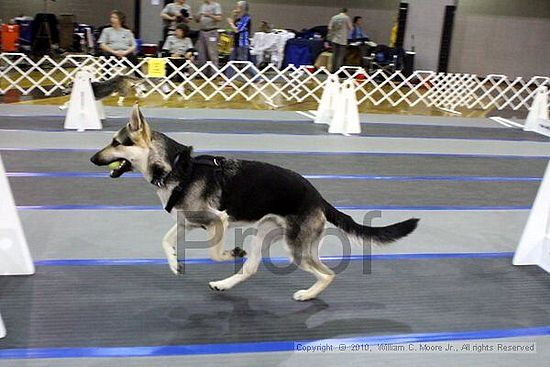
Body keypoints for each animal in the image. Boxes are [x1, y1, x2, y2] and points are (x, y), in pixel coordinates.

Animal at [90, 104, 420, 302]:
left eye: (116, 143)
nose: (92, 159)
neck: (177, 168)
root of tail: (318, 196)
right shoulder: (188, 222)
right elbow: (164, 241)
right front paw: (175, 265)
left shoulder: (217, 220)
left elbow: (213, 253)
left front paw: (230, 252)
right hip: (266, 233)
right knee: (251, 269)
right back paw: (224, 285)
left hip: (296, 248)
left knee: (327, 274)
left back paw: (308, 294)